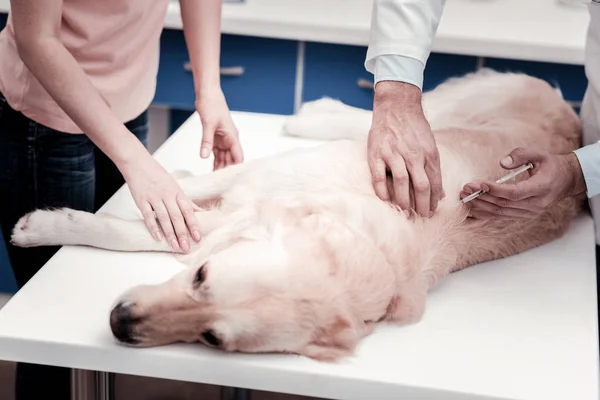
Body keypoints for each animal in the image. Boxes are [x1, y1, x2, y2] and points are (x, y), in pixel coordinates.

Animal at [9, 70, 580, 360]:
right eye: (200, 279)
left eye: (212, 339)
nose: (119, 323)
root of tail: (572, 119)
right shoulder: (264, 177)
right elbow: (191, 190)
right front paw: (166, 180)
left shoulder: (228, 216)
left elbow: (147, 232)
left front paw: (45, 226)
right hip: (434, 117)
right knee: (391, 114)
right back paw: (317, 114)